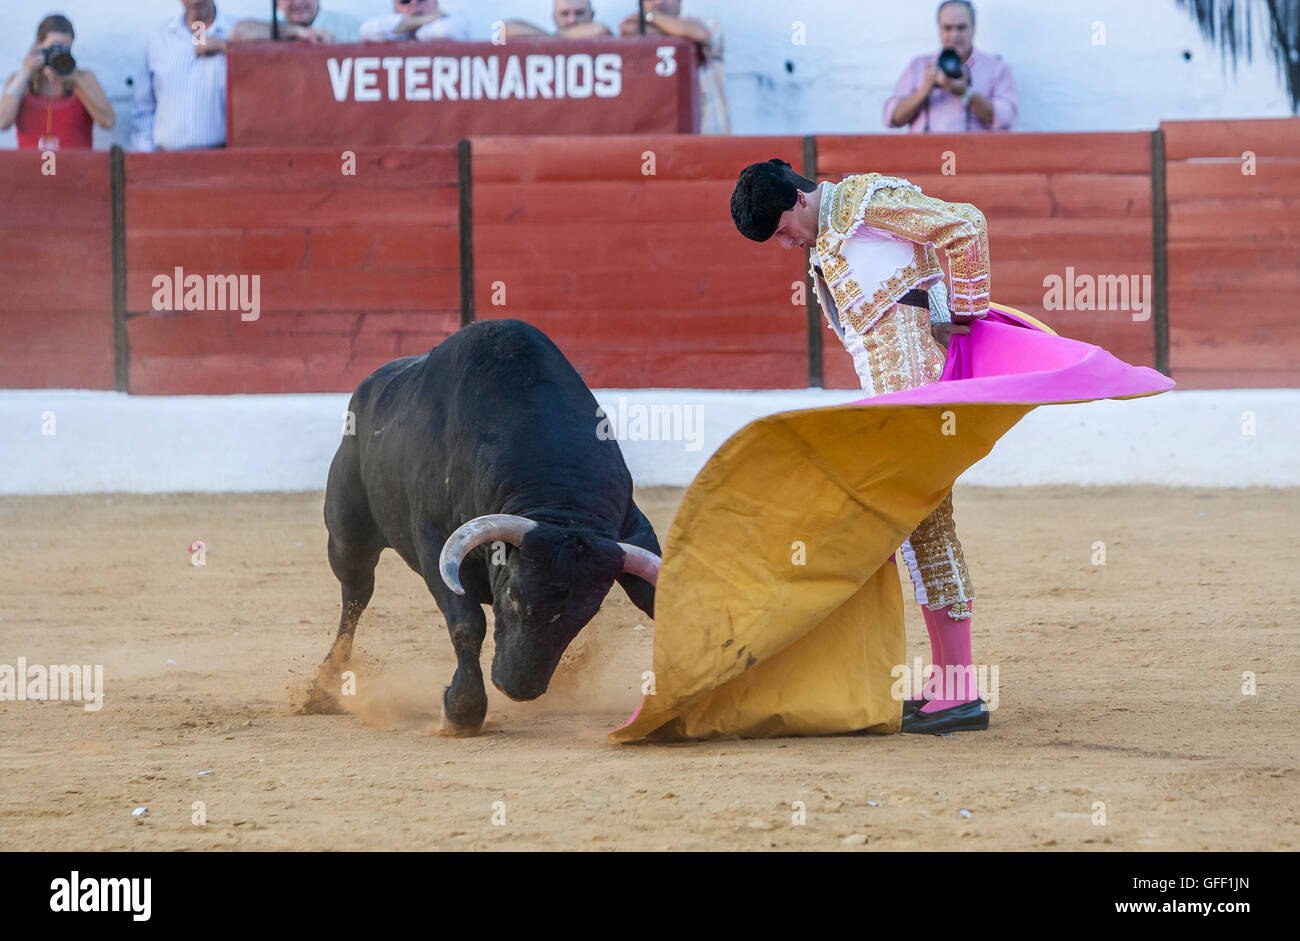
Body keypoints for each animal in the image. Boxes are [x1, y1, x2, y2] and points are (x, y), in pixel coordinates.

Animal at [306, 319, 660, 733]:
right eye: (514, 596)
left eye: (585, 615)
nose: (517, 688)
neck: (559, 500)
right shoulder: (433, 540)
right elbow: (467, 622)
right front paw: (461, 712)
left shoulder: (631, 529)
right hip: (348, 537)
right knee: (355, 596)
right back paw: (323, 688)